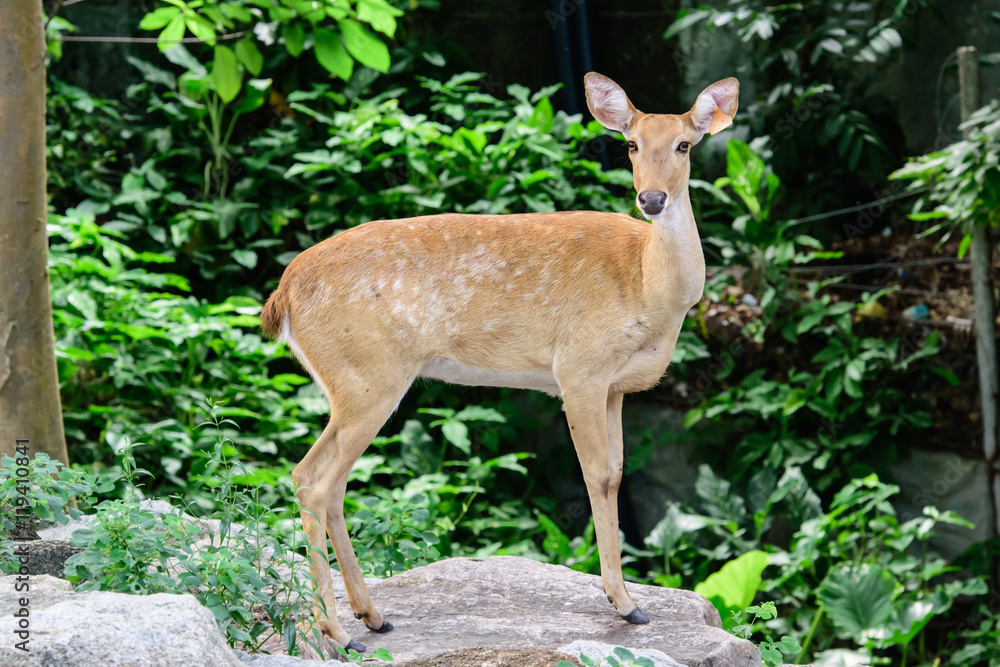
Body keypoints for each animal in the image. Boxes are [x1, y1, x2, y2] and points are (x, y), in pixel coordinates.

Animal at [259, 72, 739, 654]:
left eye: (685, 144)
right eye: (630, 144)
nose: (651, 198)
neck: (648, 287)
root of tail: (283, 294)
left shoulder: (616, 388)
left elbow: (617, 475)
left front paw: (623, 598)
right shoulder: (579, 368)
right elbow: (597, 475)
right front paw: (625, 604)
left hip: (355, 383)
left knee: (331, 482)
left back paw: (372, 615)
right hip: (367, 376)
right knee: (312, 478)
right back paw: (336, 629)